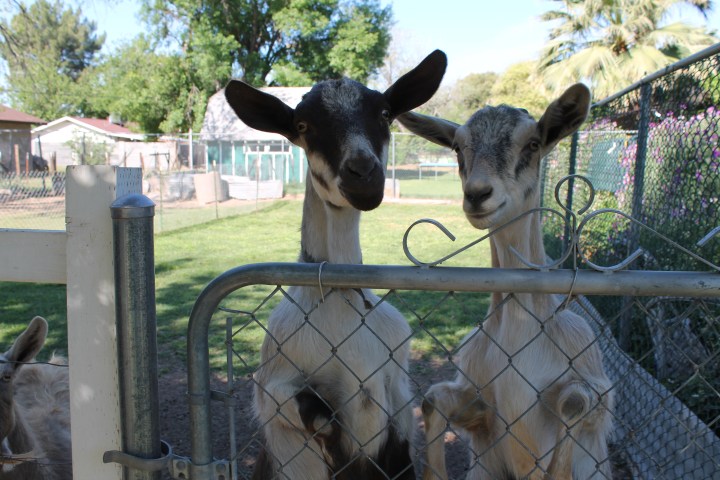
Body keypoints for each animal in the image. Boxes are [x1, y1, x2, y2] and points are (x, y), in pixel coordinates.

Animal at [224, 49, 447, 479]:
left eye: (384, 113)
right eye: (302, 125)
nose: (362, 172)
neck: (340, 302)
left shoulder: (396, 390)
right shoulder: (275, 385)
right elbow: (318, 416)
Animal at [398, 84, 613, 479]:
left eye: (533, 143)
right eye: (457, 146)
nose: (477, 194)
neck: (520, 328)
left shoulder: (593, 384)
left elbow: (575, 402)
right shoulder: (480, 403)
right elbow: (433, 399)